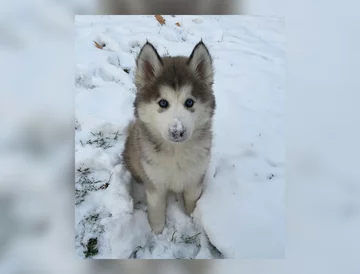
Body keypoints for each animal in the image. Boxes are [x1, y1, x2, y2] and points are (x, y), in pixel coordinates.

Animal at [122, 40, 215, 233]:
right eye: (163, 103)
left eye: (189, 102)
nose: (177, 131)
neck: (176, 152)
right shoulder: (155, 183)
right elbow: (156, 209)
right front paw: (157, 231)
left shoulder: (195, 178)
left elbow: (192, 201)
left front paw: (192, 218)